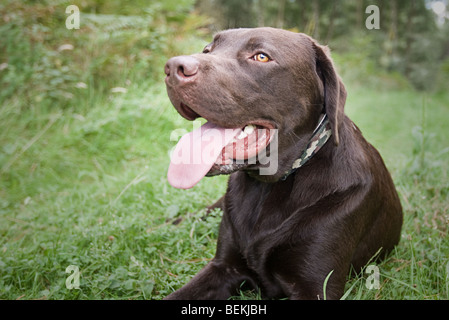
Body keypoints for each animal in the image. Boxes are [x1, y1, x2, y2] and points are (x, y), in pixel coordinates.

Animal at [162, 27, 402, 300]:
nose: (172, 67)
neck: (267, 186)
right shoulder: (224, 267)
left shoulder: (317, 287)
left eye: (262, 56)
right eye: (207, 50)